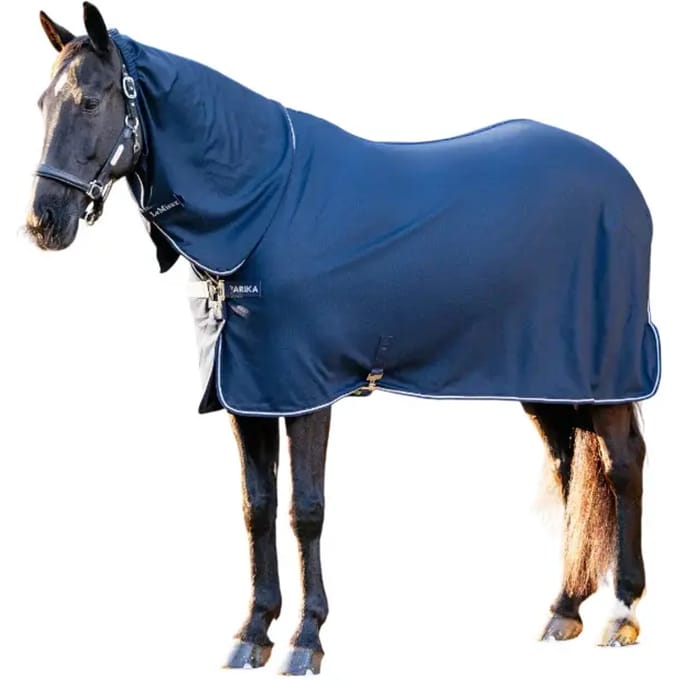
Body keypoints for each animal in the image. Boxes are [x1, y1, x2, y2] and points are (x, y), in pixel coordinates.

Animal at [26, 3, 660, 674]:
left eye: (90, 101)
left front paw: (306, 638)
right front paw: (253, 631)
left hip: (607, 372)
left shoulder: (305, 392)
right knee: (570, 471)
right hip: (546, 378)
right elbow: (256, 507)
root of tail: (621, 181)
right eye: (41, 103)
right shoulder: (248, 393)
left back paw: (620, 613)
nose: (43, 222)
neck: (264, 207)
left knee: (622, 466)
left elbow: (306, 510)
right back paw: (563, 609)